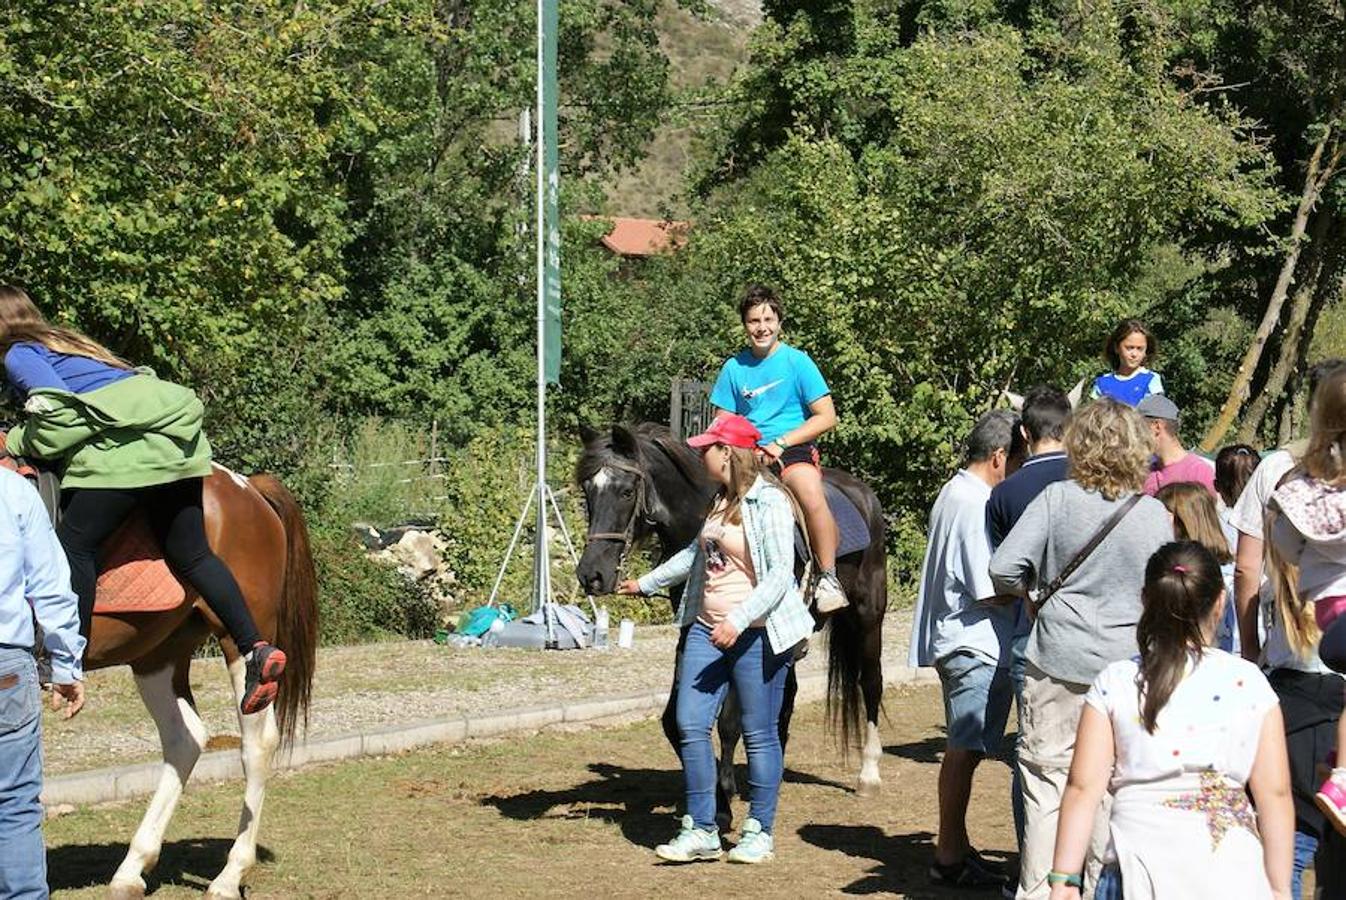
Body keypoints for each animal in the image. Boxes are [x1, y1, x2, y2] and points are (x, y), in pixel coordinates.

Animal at [21, 457, 320, 898]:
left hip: (241, 638)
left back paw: (229, 876)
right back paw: (133, 867)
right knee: (185, 738)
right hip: (157, 655)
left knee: (256, 742)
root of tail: (248, 487)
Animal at [576, 425, 882, 834]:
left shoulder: (744, 636)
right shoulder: (693, 633)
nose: (591, 575)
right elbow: (675, 721)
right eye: (588, 491)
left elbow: (728, 722)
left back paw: (869, 775)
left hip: (868, 618)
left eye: (626, 491)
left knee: (870, 683)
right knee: (785, 701)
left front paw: (722, 806)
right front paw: (712, 796)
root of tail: (864, 494)